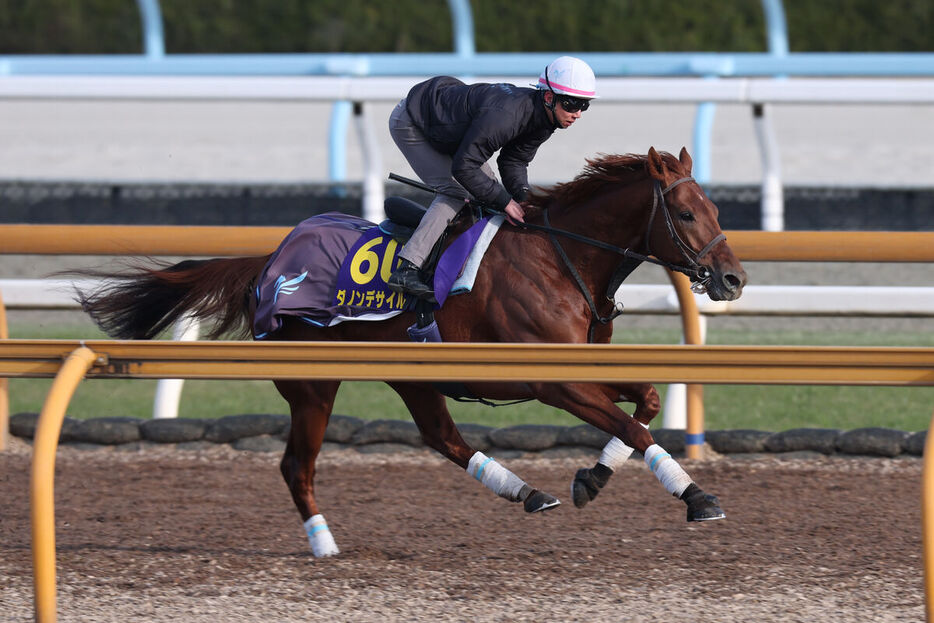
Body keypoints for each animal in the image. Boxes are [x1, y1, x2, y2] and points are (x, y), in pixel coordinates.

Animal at [75, 149, 744, 560]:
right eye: (686, 212)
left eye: (717, 208)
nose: (733, 279)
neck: (561, 257)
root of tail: (271, 263)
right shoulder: (552, 380)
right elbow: (634, 429)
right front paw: (697, 497)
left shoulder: (588, 368)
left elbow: (646, 403)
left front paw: (591, 477)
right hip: (313, 385)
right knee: (297, 466)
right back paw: (324, 544)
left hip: (414, 376)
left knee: (444, 440)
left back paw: (528, 492)